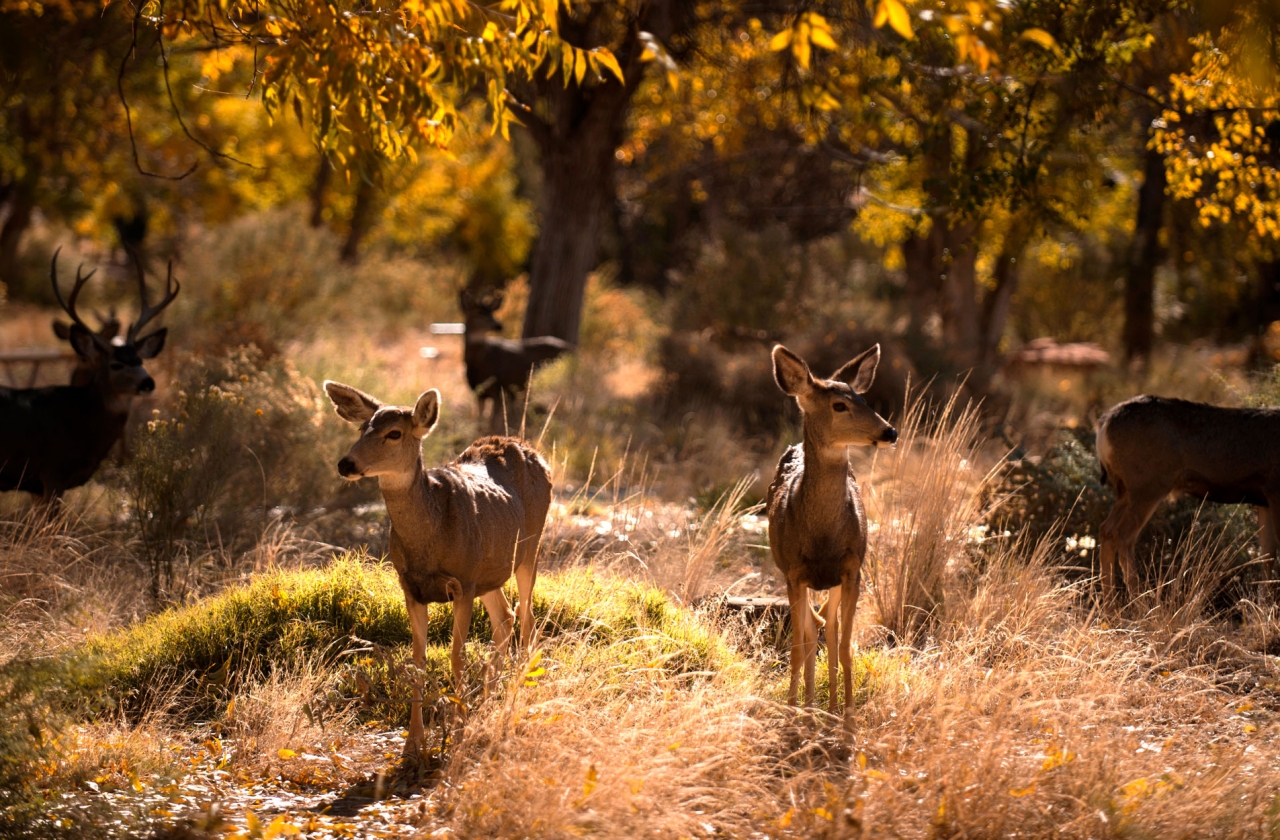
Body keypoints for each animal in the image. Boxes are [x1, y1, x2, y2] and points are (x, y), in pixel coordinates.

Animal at [322, 381, 552, 752]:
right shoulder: (411, 587)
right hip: (489, 572)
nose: (346, 463)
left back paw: (517, 697)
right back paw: (488, 702)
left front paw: (457, 732)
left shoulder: (463, 581)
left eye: (394, 433)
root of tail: (529, 449)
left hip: (529, 548)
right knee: (505, 617)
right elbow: (418, 660)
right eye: (362, 428)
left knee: (527, 618)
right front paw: (413, 742)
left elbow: (457, 656)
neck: (429, 539)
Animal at [460, 286, 570, 432]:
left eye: (492, 313)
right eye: (479, 312)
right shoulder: (479, 393)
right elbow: (479, 422)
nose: (498, 325)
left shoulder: (499, 389)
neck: (479, 364)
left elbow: (492, 423)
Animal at [762, 345, 896, 717]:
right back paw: (809, 706)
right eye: (839, 405)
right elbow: (798, 645)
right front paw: (794, 712)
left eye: (864, 400)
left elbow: (846, 646)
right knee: (812, 630)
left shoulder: (852, 569)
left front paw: (848, 716)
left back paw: (831, 707)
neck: (823, 539)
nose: (890, 432)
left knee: (830, 629)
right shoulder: (793, 572)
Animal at [1095, 394, 1280, 609]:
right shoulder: (1275, 489)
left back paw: (1110, 609)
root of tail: (1104, 424)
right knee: (1123, 535)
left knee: (1106, 530)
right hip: (1148, 486)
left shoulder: (1263, 500)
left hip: (1126, 491)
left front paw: (1264, 608)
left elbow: (1267, 555)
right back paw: (1144, 608)